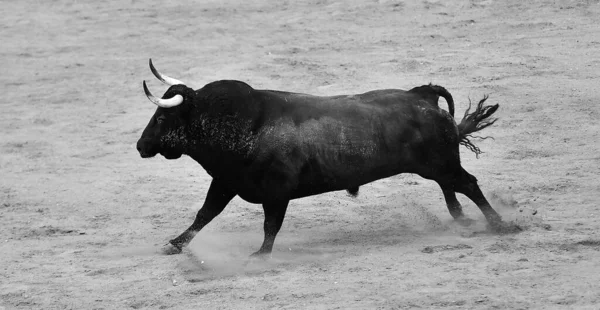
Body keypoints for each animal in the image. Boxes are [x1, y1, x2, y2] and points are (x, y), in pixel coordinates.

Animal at [138, 61, 516, 256]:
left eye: (161, 118)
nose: (141, 146)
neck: (241, 123)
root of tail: (421, 96)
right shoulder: (226, 181)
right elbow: (205, 213)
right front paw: (175, 244)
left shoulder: (275, 192)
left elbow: (270, 225)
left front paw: (261, 255)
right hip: (437, 165)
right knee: (451, 186)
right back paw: (461, 219)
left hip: (441, 163)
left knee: (468, 184)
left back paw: (500, 224)